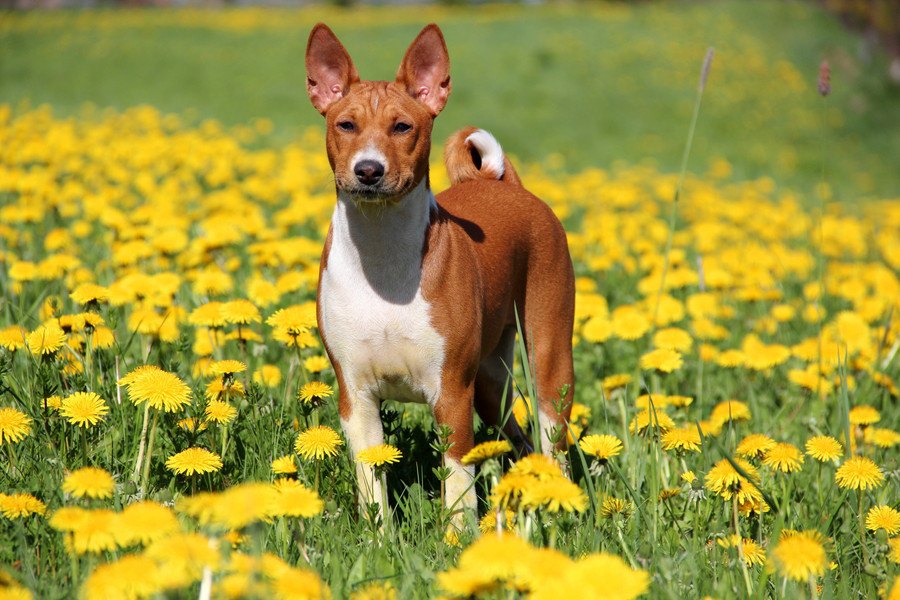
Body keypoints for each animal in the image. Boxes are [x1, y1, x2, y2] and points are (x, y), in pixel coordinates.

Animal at [308, 23, 576, 520]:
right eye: (346, 125)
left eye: (402, 127)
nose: (368, 169)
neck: (382, 260)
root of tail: (503, 185)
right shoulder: (356, 396)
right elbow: (372, 485)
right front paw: (378, 534)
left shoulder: (451, 392)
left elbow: (459, 487)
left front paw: (459, 535)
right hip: (490, 383)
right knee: (521, 440)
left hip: (548, 360)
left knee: (552, 439)